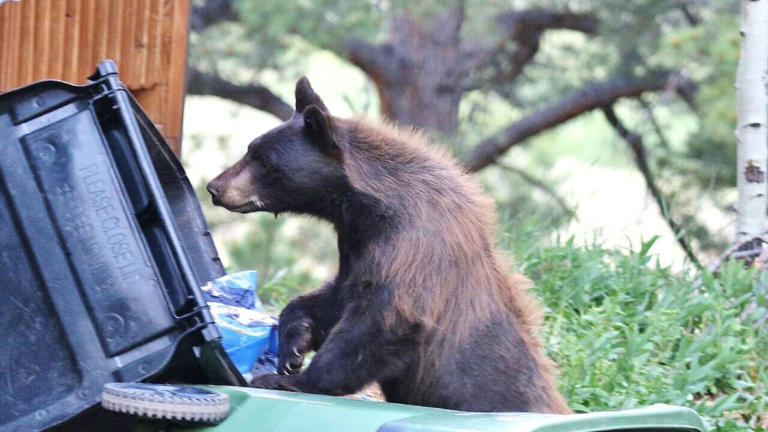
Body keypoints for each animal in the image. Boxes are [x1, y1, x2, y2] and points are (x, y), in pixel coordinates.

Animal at [206, 77, 570, 413]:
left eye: (262, 159)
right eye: (251, 148)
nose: (214, 187)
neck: (367, 209)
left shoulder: (410, 247)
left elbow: (380, 321)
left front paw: (289, 380)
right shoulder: (356, 246)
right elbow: (337, 297)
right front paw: (293, 345)